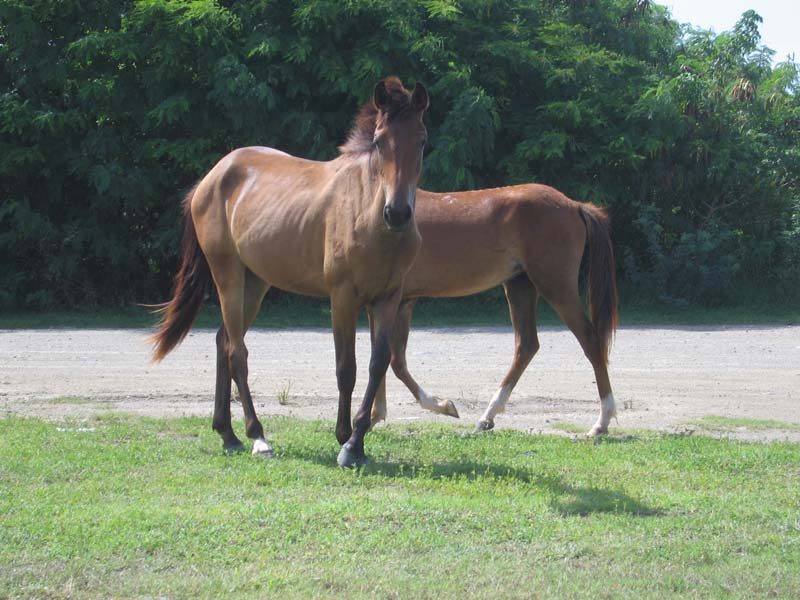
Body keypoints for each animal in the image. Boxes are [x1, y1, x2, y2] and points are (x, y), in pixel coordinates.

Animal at [148, 76, 428, 468]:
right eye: (379, 141)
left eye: (422, 140)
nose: (398, 213)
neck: (370, 215)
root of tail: (212, 177)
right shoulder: (342, 298)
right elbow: (347, 368)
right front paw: (344, 440)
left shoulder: (388, 299)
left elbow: (378, 364)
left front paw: (357, 441)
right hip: (227, 275)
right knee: (237, 353)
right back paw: (257, 437)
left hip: (255, 283)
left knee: (223, 341)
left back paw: (228, 434)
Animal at [368, 183, 620, 436]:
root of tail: (574, 205)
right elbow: (381, 358)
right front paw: (373, 417)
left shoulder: (400, 302)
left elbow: (395, 362)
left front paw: (442, 405)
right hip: (520, 287)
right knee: (526, 345)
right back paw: (487, 417)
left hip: (556, 287)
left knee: (590, 340)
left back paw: (601, 422)